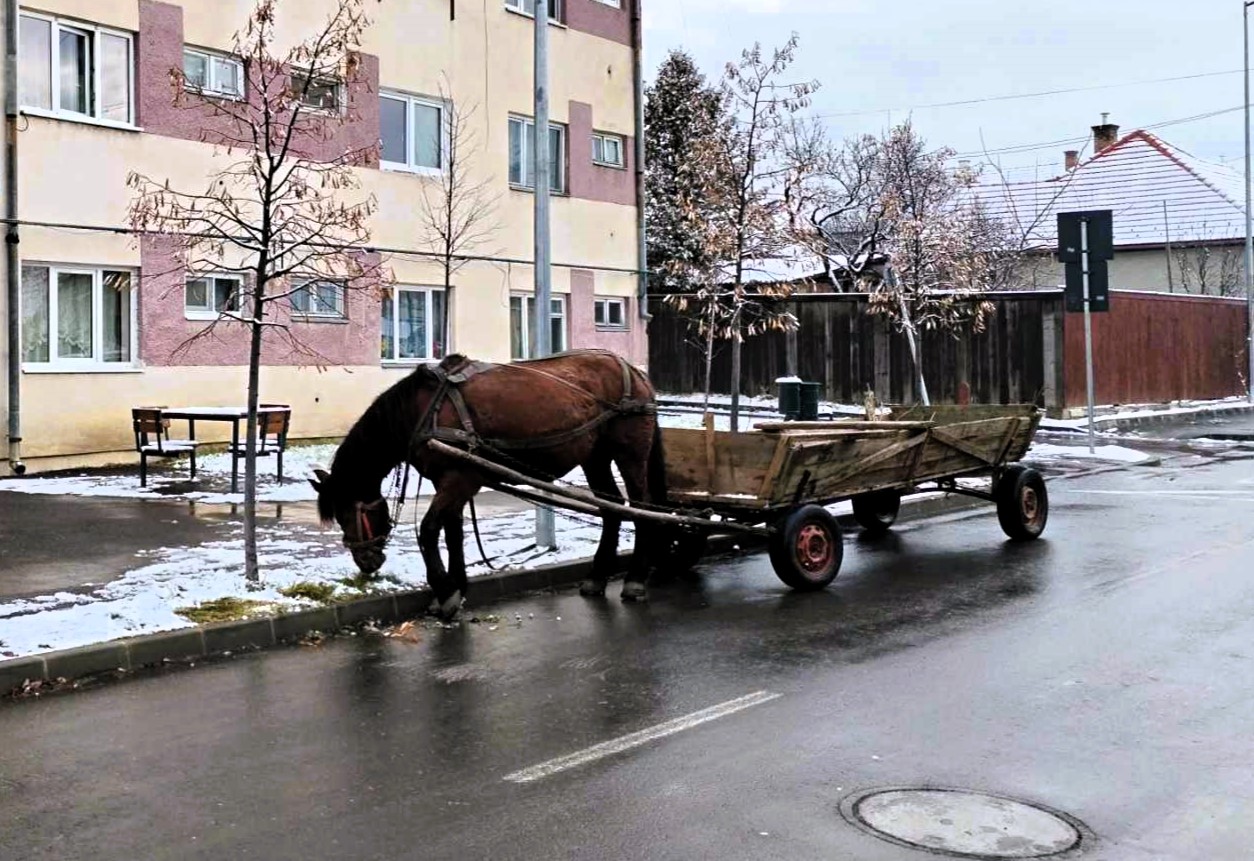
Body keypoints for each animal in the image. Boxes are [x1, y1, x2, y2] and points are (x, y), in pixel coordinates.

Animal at [308, 350, 667, 619]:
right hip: (595, 457)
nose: (365, 563)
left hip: (629, 453)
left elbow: (428, 530)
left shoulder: (460, 478)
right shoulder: (450, 481)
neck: (422, 411)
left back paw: (635, 579)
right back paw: (597, 577)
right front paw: (456, 587)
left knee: (641, 508)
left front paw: (444, 590)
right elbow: (452, 533)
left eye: (347, 512)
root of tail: (634, 371)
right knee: (612, 508)